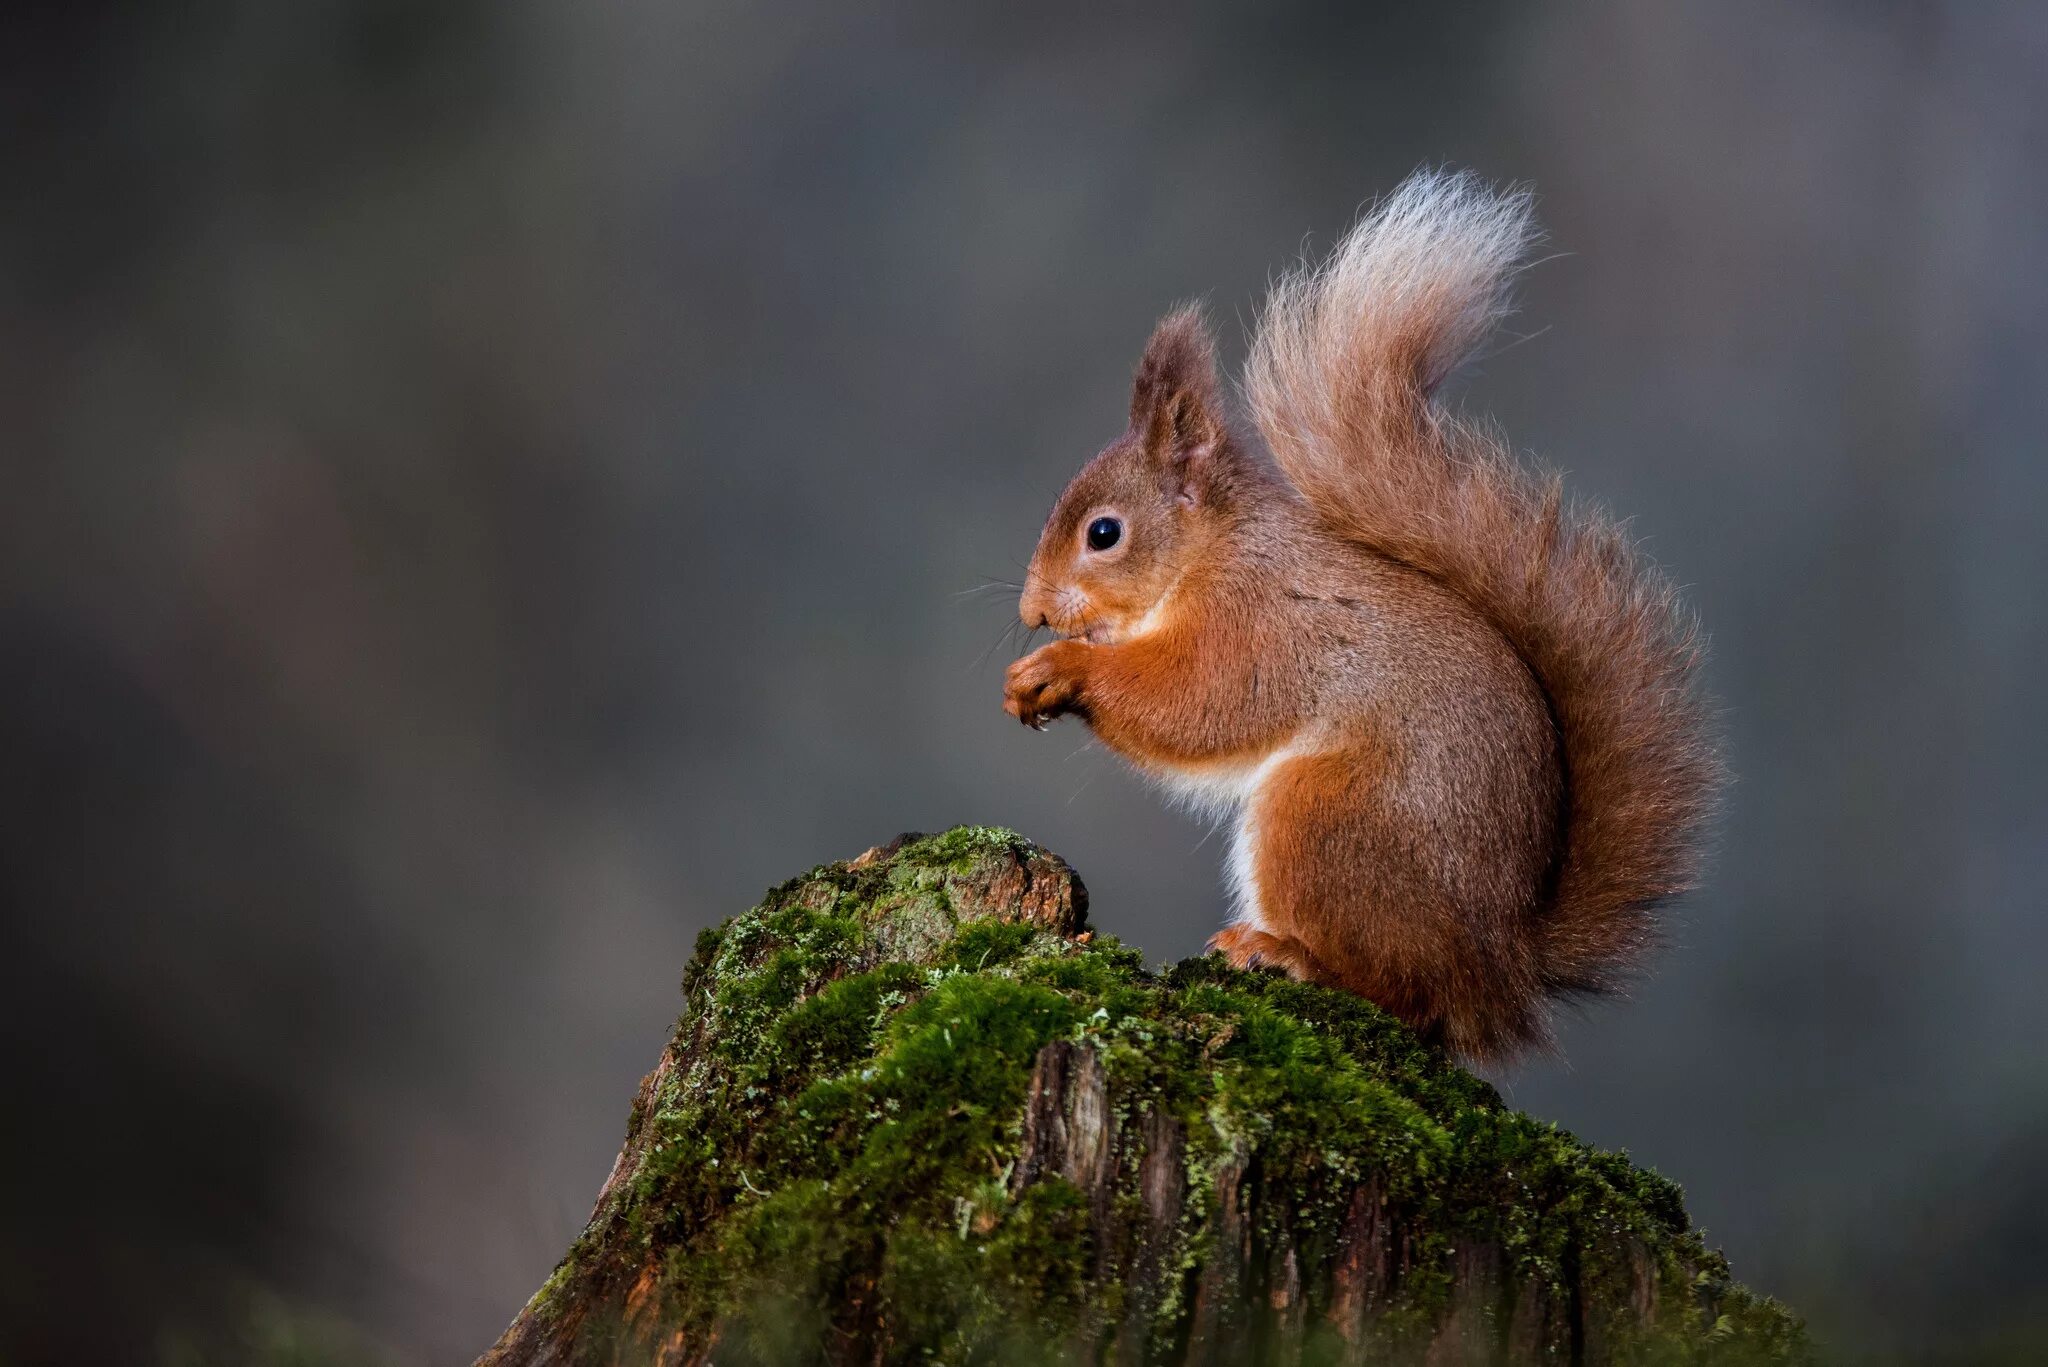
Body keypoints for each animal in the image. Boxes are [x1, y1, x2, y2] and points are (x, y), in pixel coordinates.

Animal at [999, 171, 1720, 1065]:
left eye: (1104, 533)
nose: (1032, 610)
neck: (1213, 550)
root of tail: (1500, 968)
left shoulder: (1262, 621)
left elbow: (1200, 702)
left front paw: (1061, 669)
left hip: (1326, 818)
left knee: (1402, 992)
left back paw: (1287, 953)